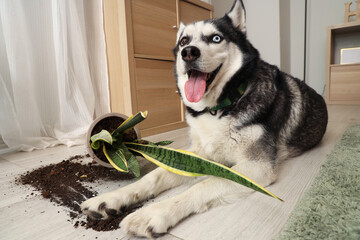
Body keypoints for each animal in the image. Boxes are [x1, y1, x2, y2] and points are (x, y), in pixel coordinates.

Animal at [81, 0, 326, 238]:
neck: (220, 107)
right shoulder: (197, 153)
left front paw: (153, 213)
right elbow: (155, 175)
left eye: (216, 38)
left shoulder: (257, 166)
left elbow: (208, 182)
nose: (188, 52)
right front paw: (113, 197)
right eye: (183, 41)